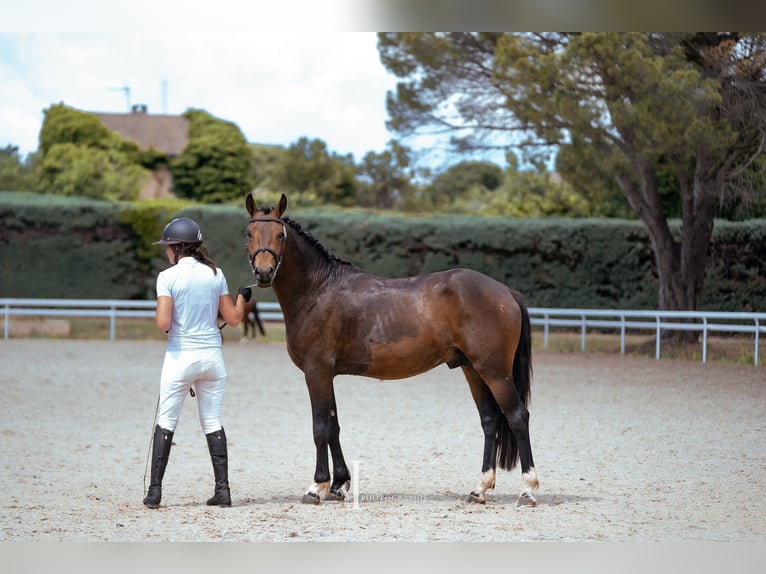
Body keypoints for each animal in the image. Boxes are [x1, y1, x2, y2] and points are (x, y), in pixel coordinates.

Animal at [246, 195, 540, 508]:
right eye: (249, 233)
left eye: (280, 235)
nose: (263, 273)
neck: (318, 290)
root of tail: (506, 292)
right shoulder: (327, 374)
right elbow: (333, 427)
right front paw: (338, 485)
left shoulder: (316, 372)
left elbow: (320, 428)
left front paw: (317, 487)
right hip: (473, 370)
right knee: (490, 421)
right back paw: (479, 488)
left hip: (495, 372)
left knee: (517, 416)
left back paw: (527, 490)